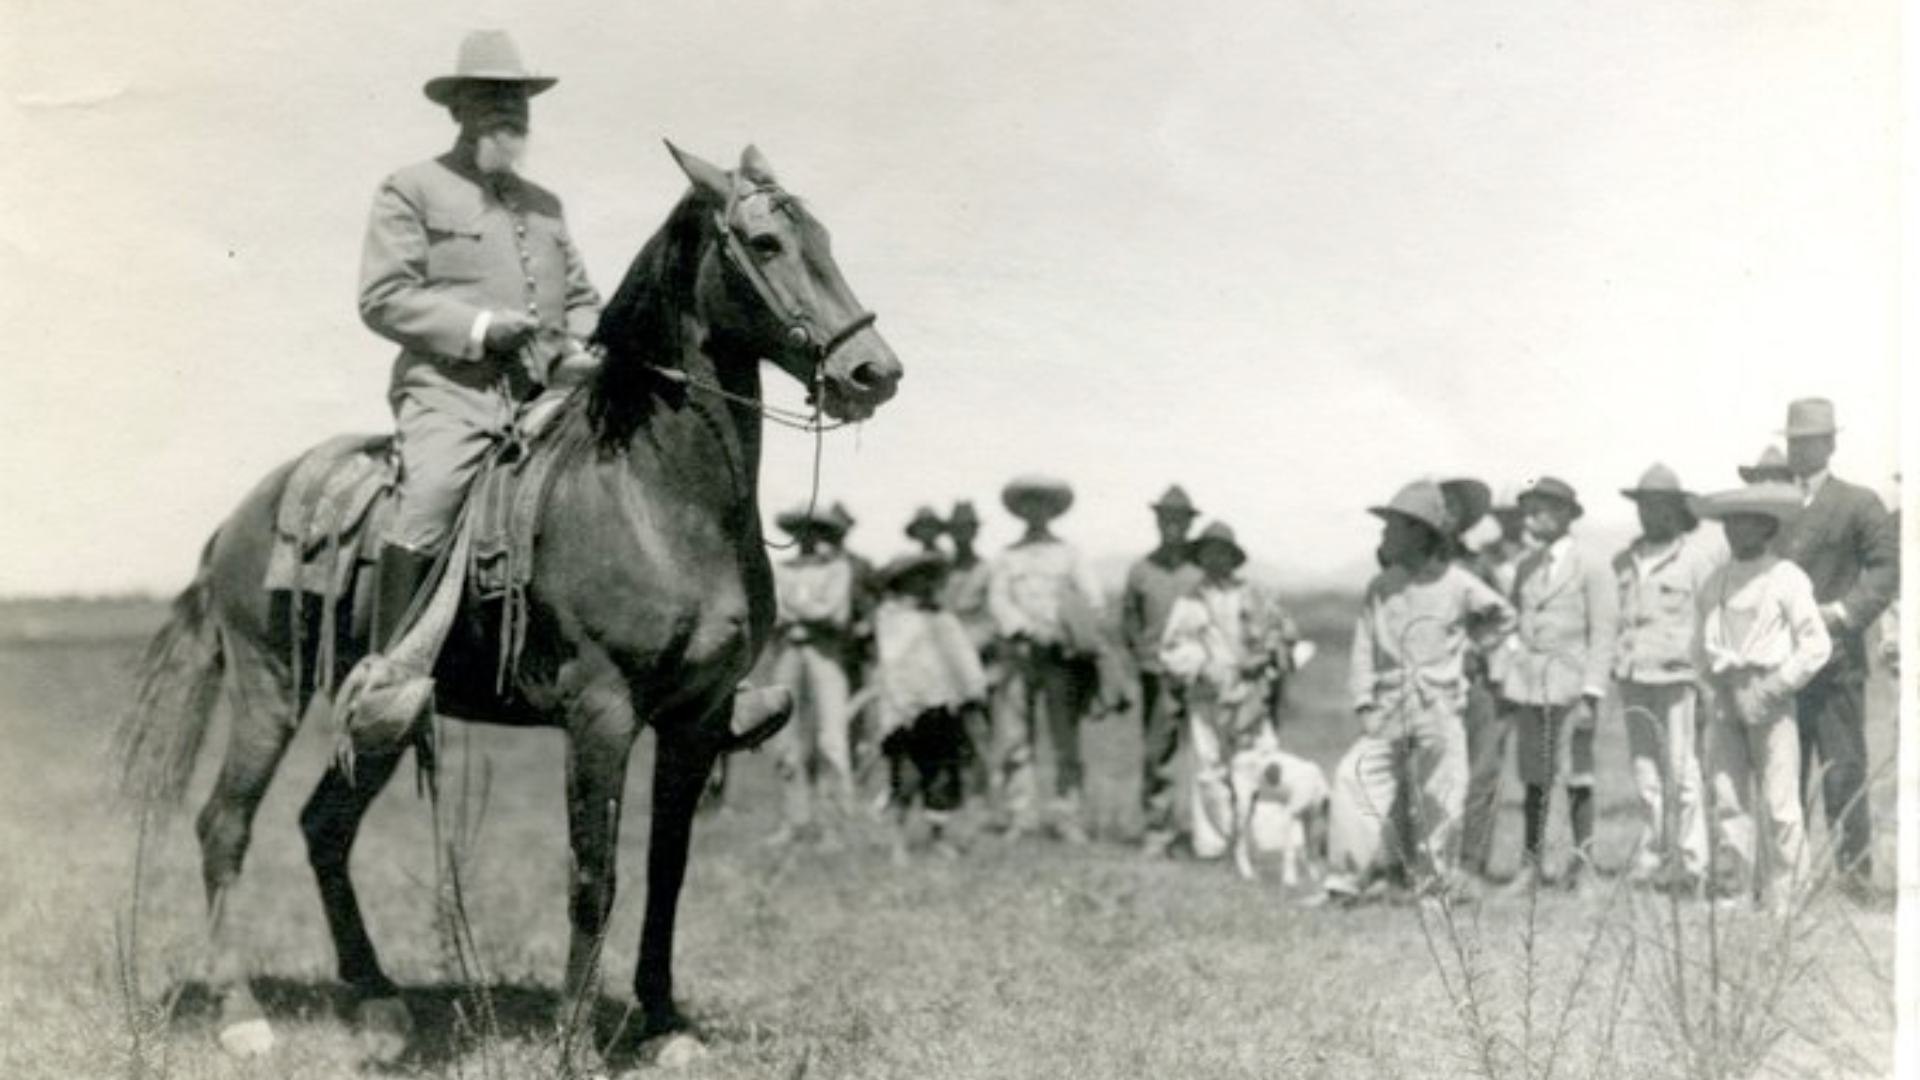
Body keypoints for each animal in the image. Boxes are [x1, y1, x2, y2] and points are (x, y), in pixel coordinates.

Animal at [108, 141, 902, 1053]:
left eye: (823, 236)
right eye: (766, 243)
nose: (874, 371)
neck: (654, 497)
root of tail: (240, 517)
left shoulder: (696, 718)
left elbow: (667, 871)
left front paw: (664, 1023)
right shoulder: (601, 713)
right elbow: (595, 874)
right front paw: (573, 1039)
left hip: (376, 727)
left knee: (324, 828)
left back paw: (375, 994)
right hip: (269, 690)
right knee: (224, 825)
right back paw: (242, 1013)